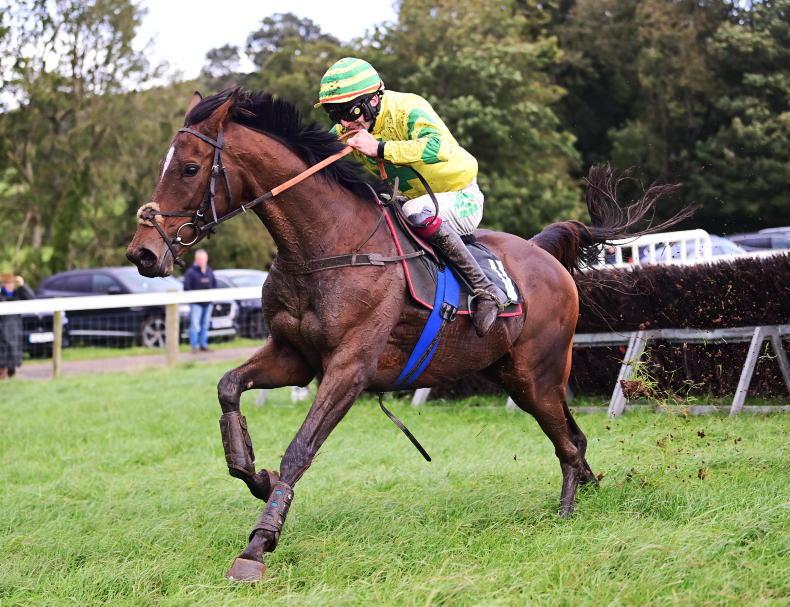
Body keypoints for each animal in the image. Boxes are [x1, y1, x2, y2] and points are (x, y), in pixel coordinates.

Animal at [126, 88, 684, 582]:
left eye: (189, 168)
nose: (143, 253)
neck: (325, 245)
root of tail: (543, 251)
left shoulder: (349, 367)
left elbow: (300, 450)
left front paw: (258, 545)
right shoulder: (293, 356)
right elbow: (228, 389)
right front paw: (255, 474)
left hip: (536, 373)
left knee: (567, 442)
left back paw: (566, 512)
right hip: (513, 375)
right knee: (573, 435)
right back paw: (589, 489)